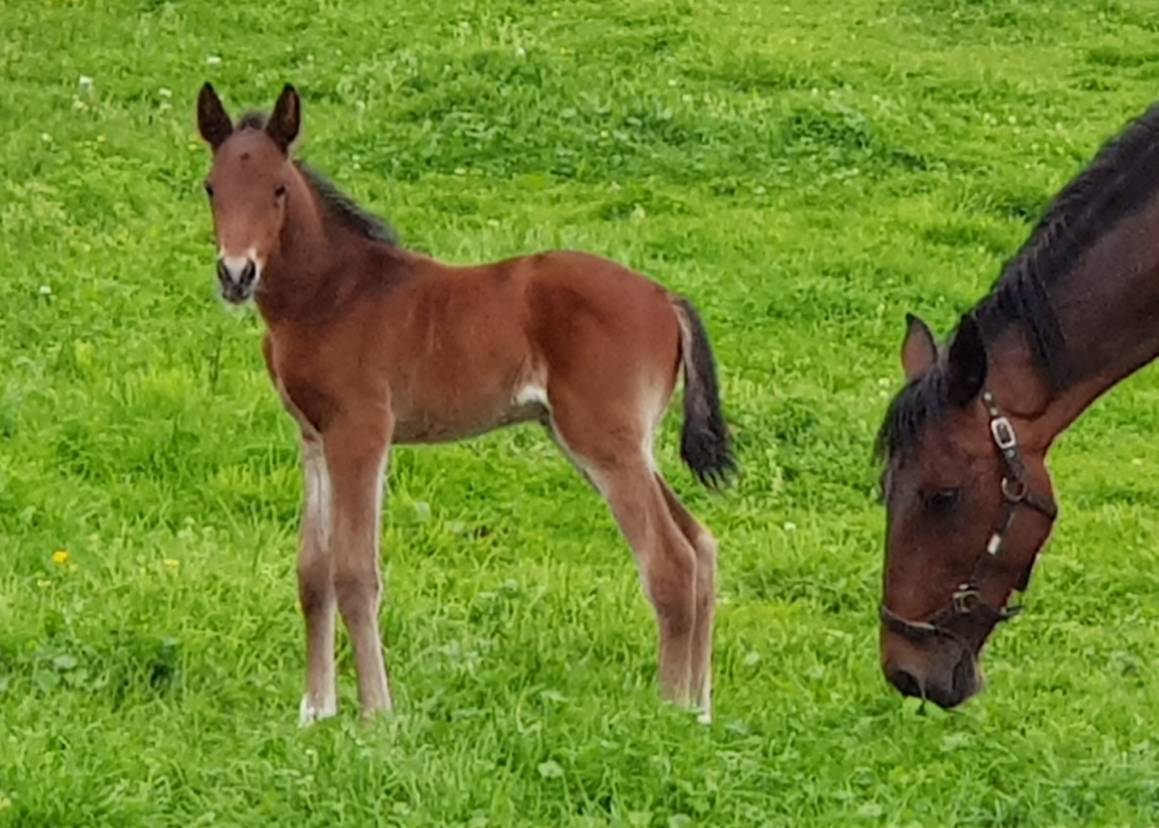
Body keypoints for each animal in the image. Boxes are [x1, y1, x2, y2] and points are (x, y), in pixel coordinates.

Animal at [193, 84, 727, 723]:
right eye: (211, 187)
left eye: (277, 188)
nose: (236, 274)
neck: (332, 294)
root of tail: (666, 298)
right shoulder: (314, 437)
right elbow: (312, 571)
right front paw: (315, 712)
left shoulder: (362, 433)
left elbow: (355, 572)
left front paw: (376, 715)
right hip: (607, 442)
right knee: (701, 544)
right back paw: (699, 710)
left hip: (605, 441)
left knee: (670, 562)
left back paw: (666, 712)